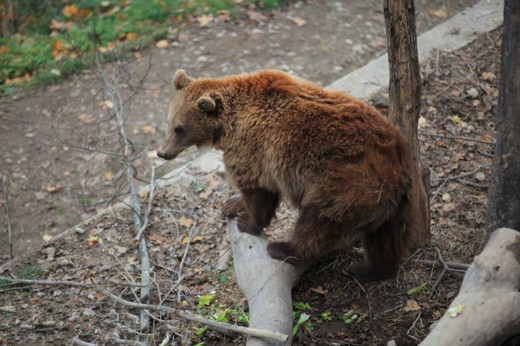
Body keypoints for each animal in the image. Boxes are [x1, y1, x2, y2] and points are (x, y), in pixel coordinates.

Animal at [158, 69, 414, 282]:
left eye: (180, 128)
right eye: (169, 122)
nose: (162, 152)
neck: (229, 125)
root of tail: (396, 163)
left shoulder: (256, 149)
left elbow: (257, 190)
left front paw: (247, 222)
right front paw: (231, 205)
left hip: (345, 183)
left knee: (318, 222)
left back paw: (284, 248)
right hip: (391, 201)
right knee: (386, 239)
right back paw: (369, 270)